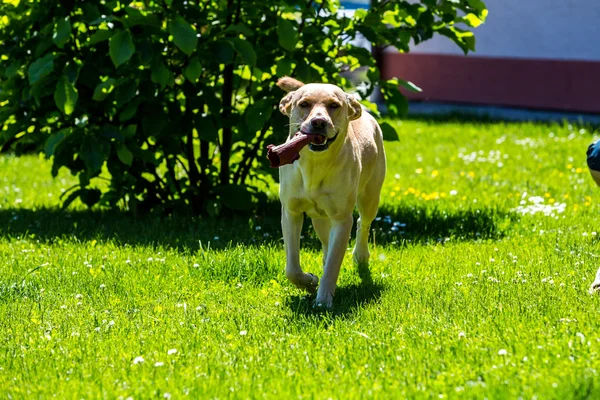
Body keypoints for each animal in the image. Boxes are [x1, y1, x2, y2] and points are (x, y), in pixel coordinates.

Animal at [276, 76, 386, 308]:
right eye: (304, 104)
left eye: (334, 105)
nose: (319, 122)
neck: (315, 165)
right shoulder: (291, 212)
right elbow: (292, 268)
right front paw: (309, 282)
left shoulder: (342, 219)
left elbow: (334, 262)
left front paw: (323, 300)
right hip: (319, 217)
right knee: (326, 241)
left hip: (370, 195)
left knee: (363, 222)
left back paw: (360, 255)